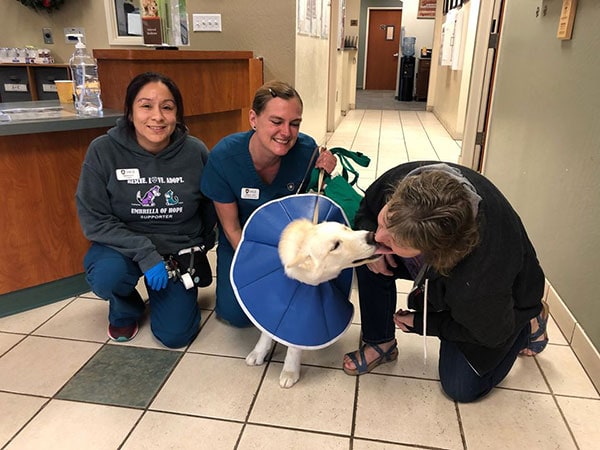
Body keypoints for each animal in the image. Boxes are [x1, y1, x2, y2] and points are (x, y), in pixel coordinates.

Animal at [244, 219, 380, 386]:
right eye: (335, 246)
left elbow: (294, 345)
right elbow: (267, 330)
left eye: (345, 228)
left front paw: (289, 371)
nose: (372, 236)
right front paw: (259, 352)